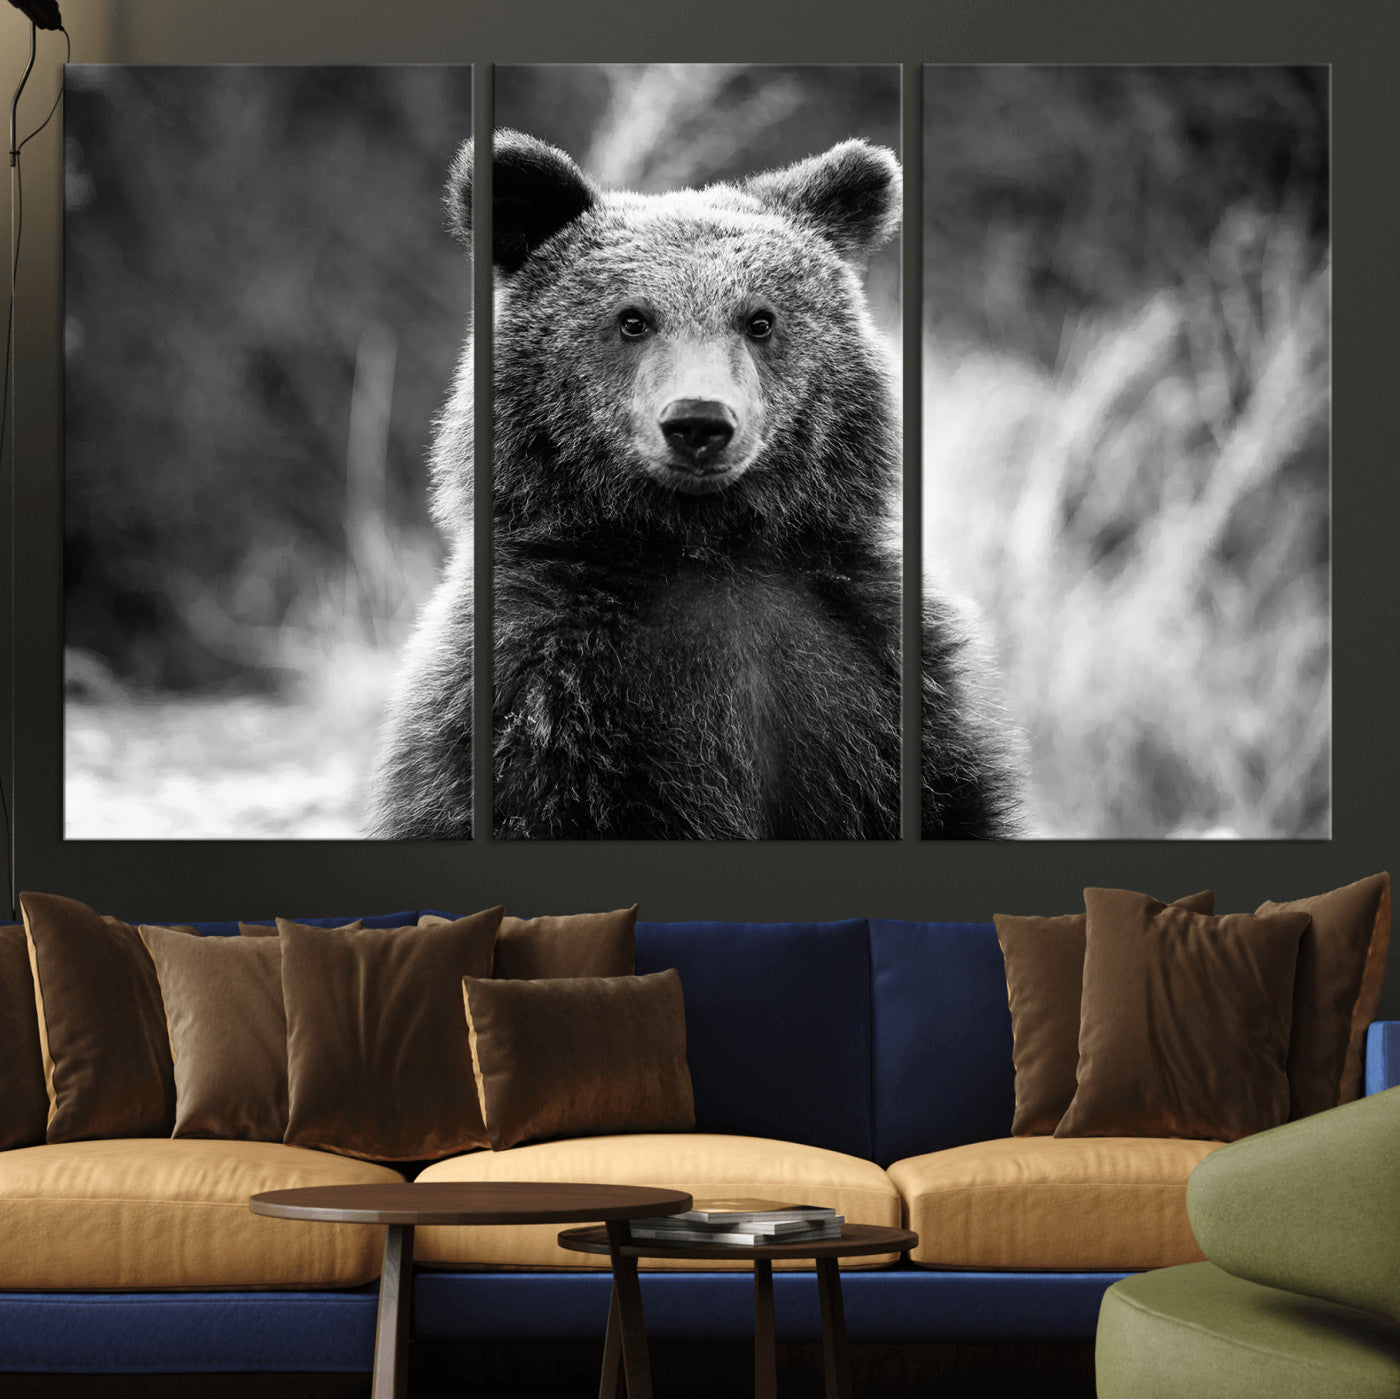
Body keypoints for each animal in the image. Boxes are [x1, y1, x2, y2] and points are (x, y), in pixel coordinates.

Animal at [368, 130, 1023, 840]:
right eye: (632, 319)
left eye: (760, 319)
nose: (699, 422)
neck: (704, 544)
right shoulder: (540, 689)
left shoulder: (879, 670)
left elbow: (950, 799)